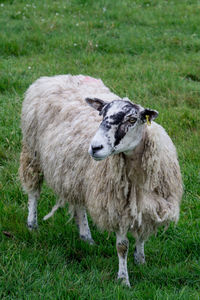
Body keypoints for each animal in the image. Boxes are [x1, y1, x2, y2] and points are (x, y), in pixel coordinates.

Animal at [19, 74, 183, 286]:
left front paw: (141, 260)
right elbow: (122, 246)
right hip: (32, 152)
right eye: (102, 115)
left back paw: (86, 237)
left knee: (79, 205)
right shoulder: (116, 206)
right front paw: (123, 280)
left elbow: (141, 236)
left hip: (77, 173)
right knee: (33, 191)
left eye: (132, 119)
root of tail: (55, 77)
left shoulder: (148, 204)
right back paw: (32, 224)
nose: (95, 147)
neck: (137, 174)